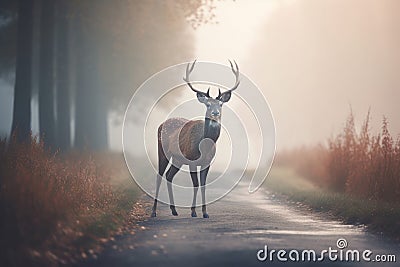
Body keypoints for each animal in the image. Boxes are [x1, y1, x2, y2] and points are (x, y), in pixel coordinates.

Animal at [149, 60, 238, 220]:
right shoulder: (191, 160)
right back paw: (153, 212)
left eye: (220, 104)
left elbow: (203, 185)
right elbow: (195, 184)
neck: (204, 146)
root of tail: (161, 124)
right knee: (159, 176)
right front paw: (193, 211)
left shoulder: (207, 162)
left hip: (177, 159)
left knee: (169, 175)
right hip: (163, 152)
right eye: (208, 104)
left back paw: (174, 210)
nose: (215, 113)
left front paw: (205, 212)